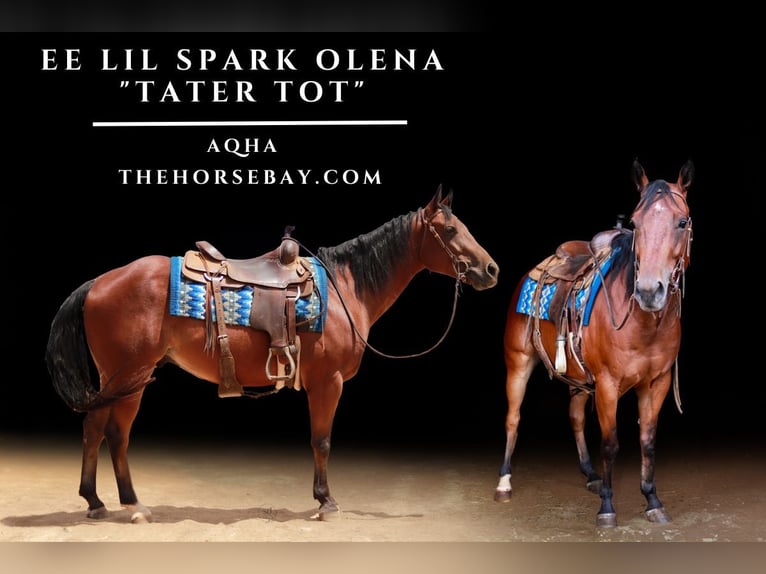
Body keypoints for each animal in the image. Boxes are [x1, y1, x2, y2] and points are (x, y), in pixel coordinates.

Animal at [46, 186, 499, 523]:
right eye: (451, 230)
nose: (491, 270)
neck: (343, 289)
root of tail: (100, 282)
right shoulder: (327, 383)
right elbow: (321, 441)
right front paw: (325, 501)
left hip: (114, 379)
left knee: (93, 429)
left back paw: (95, 502)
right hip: (130, 376)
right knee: (115, 434)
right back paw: (133, 505)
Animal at [493, 159, 693, 528]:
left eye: (682, 222)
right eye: (635, 223)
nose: (649, 291)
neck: (643, 324)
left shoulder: (656, 383)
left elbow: (647, 441)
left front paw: (652, 500)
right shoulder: (608, 385)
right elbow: (611, 443)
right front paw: (607, 508)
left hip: (579, 376)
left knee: (574, 416)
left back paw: (590, 474)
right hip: (518, 363)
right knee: (513, 417)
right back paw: (504, 482)